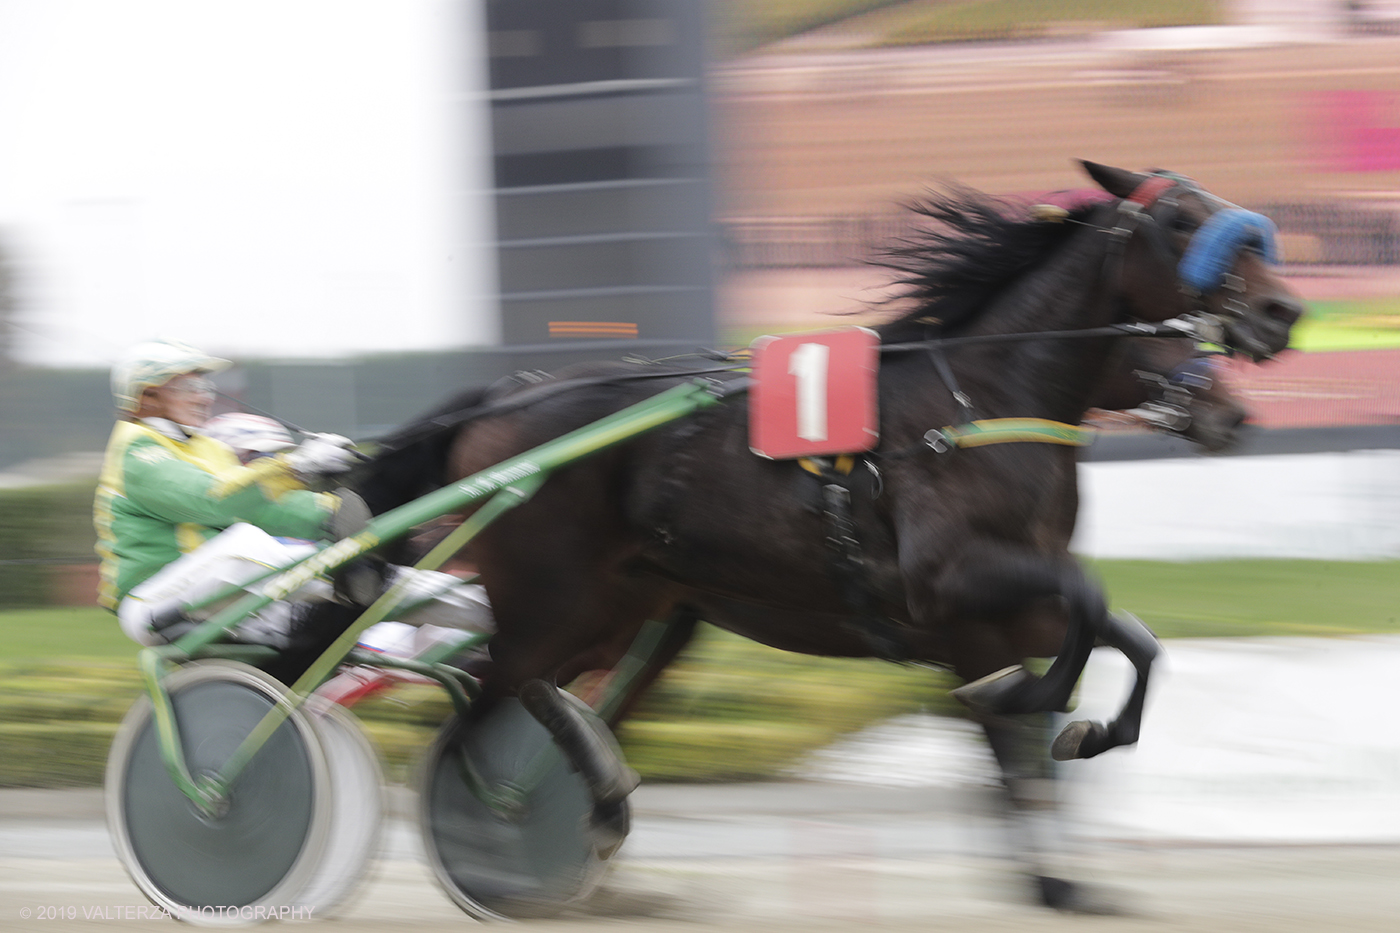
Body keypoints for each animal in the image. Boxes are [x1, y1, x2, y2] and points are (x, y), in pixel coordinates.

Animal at [350, 163, 1299, 902]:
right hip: (555, 594)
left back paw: (604, 813)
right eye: (1182, 220)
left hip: (637, 609)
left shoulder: (998, 610)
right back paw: (509, 825)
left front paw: (1068, 836)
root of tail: (501, 395)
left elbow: (1123, 639)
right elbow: (1072, 628)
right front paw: (1040, 711)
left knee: (547, 688)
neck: (979, 408)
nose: (1282, 312)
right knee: (493, 684)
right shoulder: (950, 589)